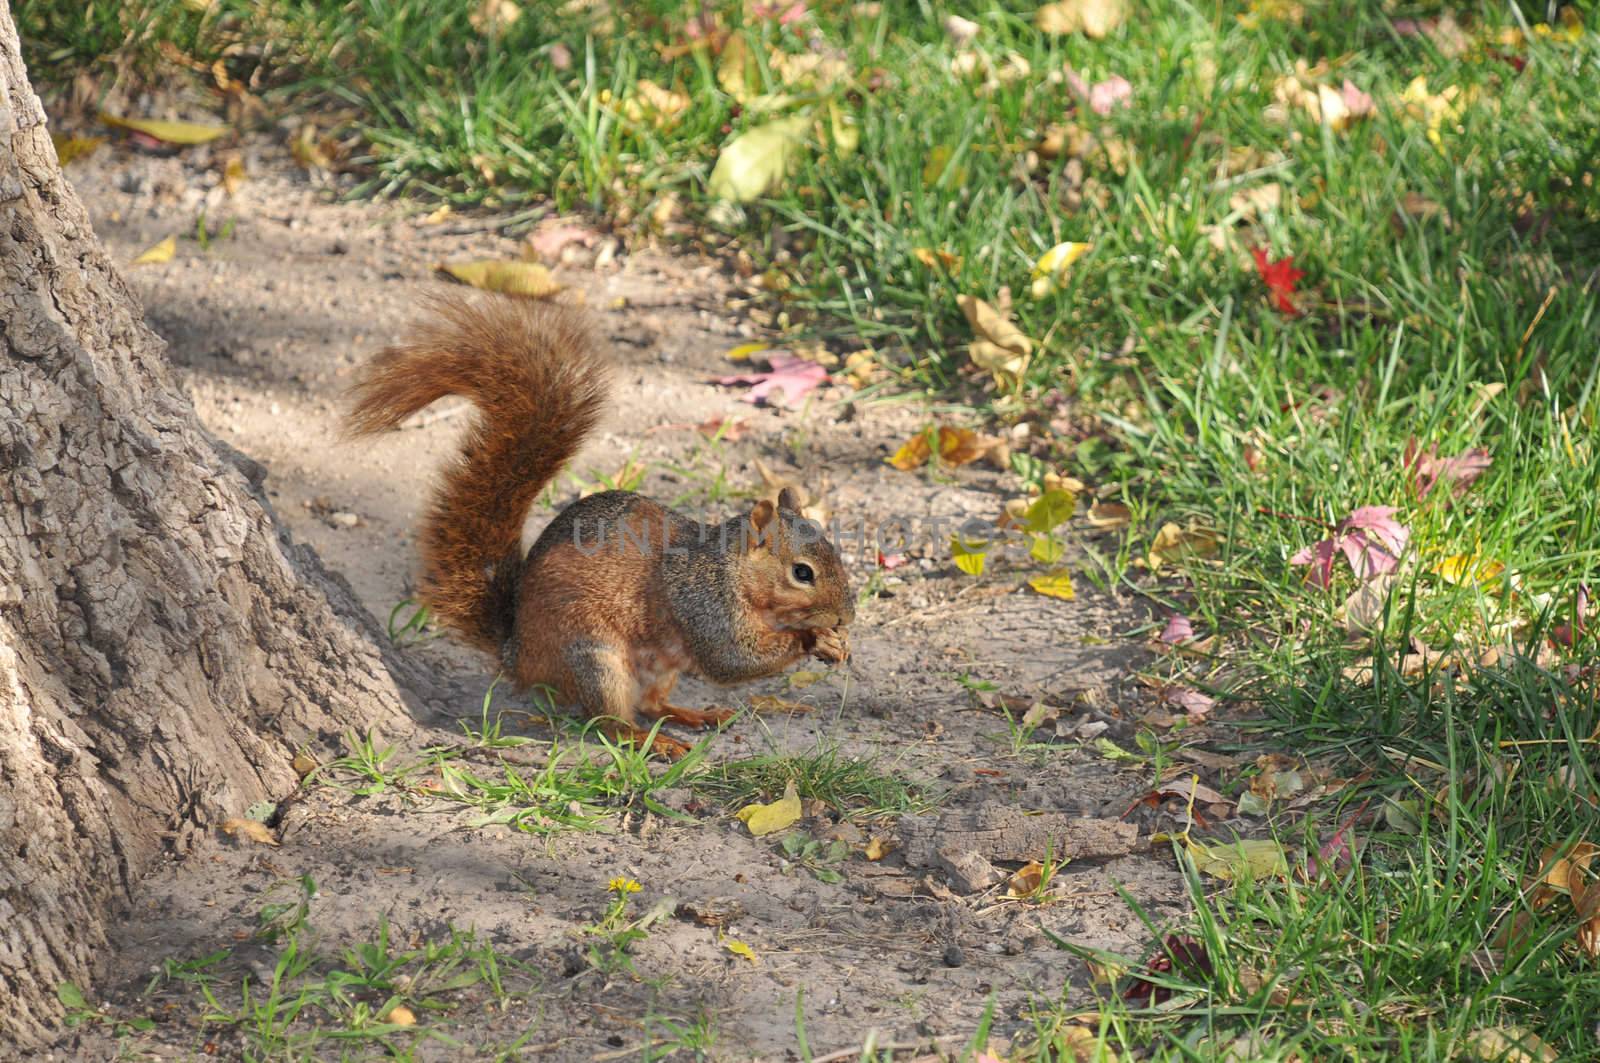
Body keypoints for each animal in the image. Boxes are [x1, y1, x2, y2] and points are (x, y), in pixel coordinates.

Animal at [345, 292, 857, 755]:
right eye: (802, 573)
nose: (847, 617)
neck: (730, 572)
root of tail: (519, 655)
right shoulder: (703, 606)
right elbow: (731, 661)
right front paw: (813, 639)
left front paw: (837, 642)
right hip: (594, 659)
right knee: (612, 721)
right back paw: (653, 741)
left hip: (658, 667)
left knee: (651, 705)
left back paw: (693, 715)